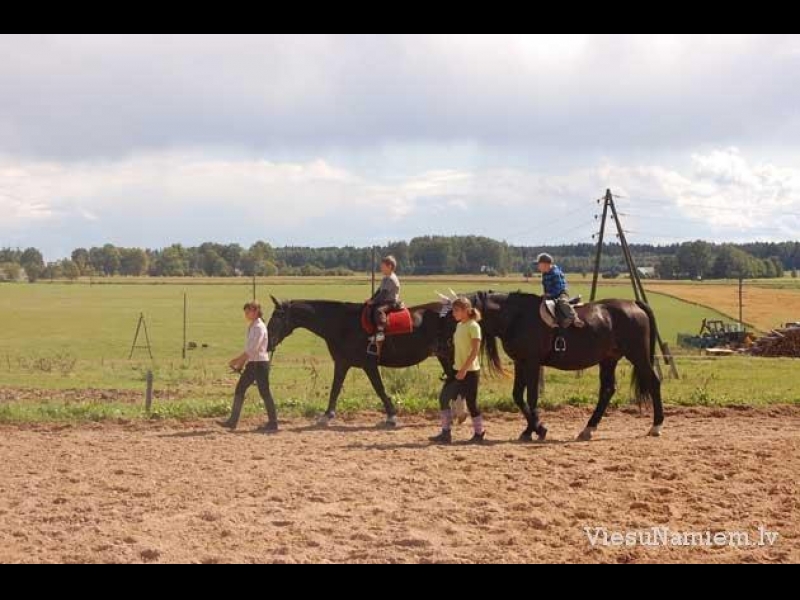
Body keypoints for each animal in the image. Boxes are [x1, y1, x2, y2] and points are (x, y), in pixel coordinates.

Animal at [268, 296, 456, 426]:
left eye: (276, 319)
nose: (269, 344)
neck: (343, 324)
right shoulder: (342, 363)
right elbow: (335, 389)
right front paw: (327, 415)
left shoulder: (369, 365)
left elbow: (379, 389)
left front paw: (392, 416)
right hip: (444, 356)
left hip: (446, 355)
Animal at [472, 292, 664, 442]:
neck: (517, 317)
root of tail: (634, 304)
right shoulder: (520, 363)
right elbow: (518, 396)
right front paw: (531, 430)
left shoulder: (532, 363)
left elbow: (532, 397)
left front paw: (537, 430)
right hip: (609, 360)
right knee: (608, 390)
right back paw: (588, 429)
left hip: (638, 356)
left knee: (654, 382)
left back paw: (656, 426)